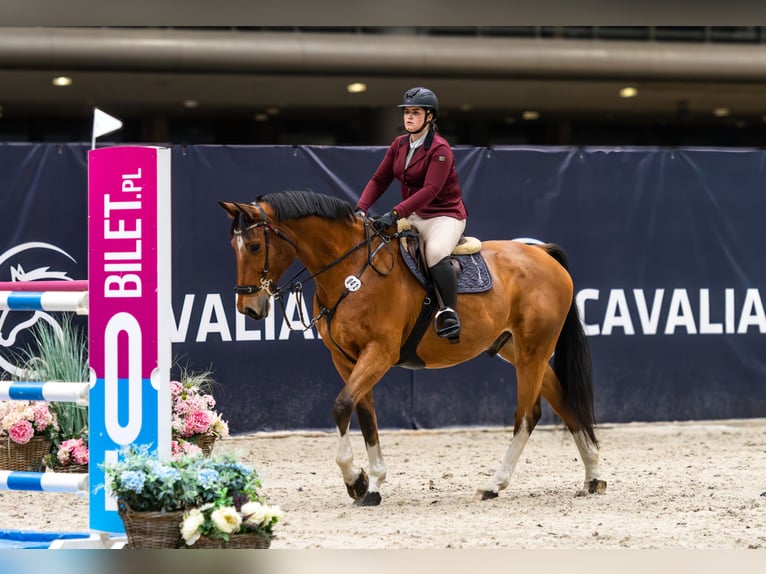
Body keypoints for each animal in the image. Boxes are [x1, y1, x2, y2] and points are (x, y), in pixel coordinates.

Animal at [219, 191, 608, 506]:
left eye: (254, 247)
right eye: (233, 248)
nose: (248, 309)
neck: (352, 272)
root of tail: (542, 253)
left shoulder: (378, 353)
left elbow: (342, 406)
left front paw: (356, 480)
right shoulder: (346, 360)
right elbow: (365, 415)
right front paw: (372, 483)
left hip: (532, 352)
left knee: (528, 415)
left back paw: (494, 484)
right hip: (519, 350)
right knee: (564, 401)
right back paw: (592, 476)